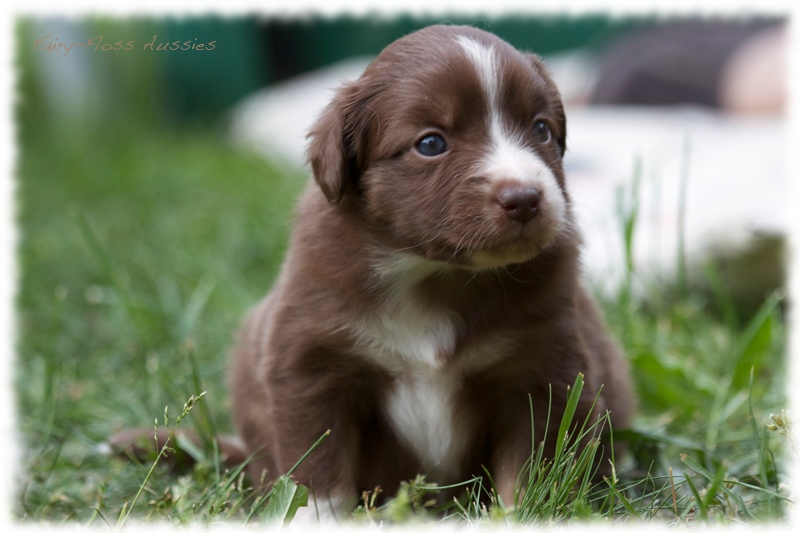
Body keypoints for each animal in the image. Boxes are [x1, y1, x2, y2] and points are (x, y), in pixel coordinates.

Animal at [228, 26, 636, 520]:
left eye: (540, 128)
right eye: (430, 143)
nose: (525, 198)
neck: (434, 274)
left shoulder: (542, 369)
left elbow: (531, 465)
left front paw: (520, 516)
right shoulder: (311, 361)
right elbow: (317, 465)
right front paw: (317, 518)